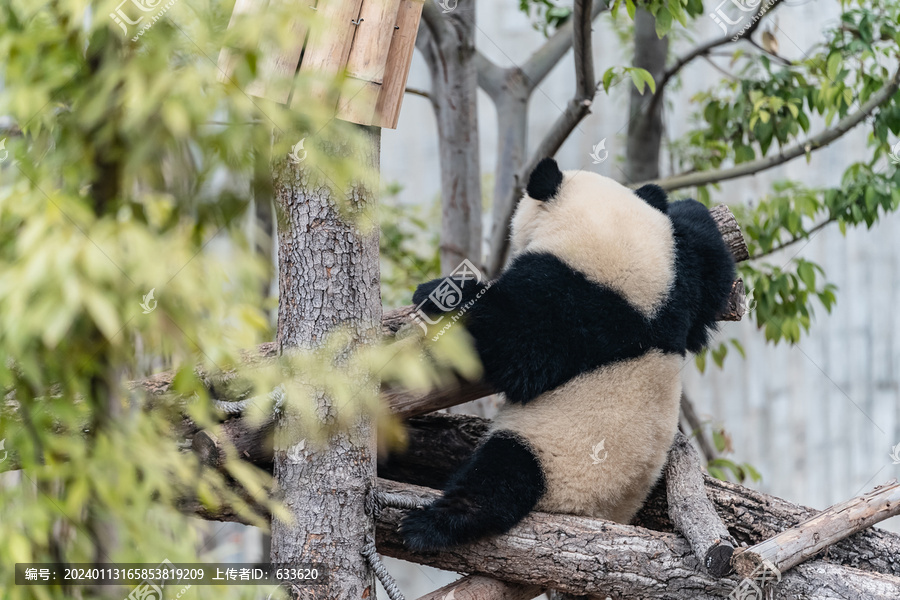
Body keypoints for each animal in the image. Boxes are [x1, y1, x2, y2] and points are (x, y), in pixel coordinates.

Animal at [402, 157, 740, 552]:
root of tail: (604, 515)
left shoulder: (568, 300)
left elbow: (511, 343)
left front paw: (440, 293)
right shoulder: (678, 284)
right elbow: (711, 267)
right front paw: (685, 207)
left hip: (550, 458)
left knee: (501, 477)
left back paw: (432, 524)